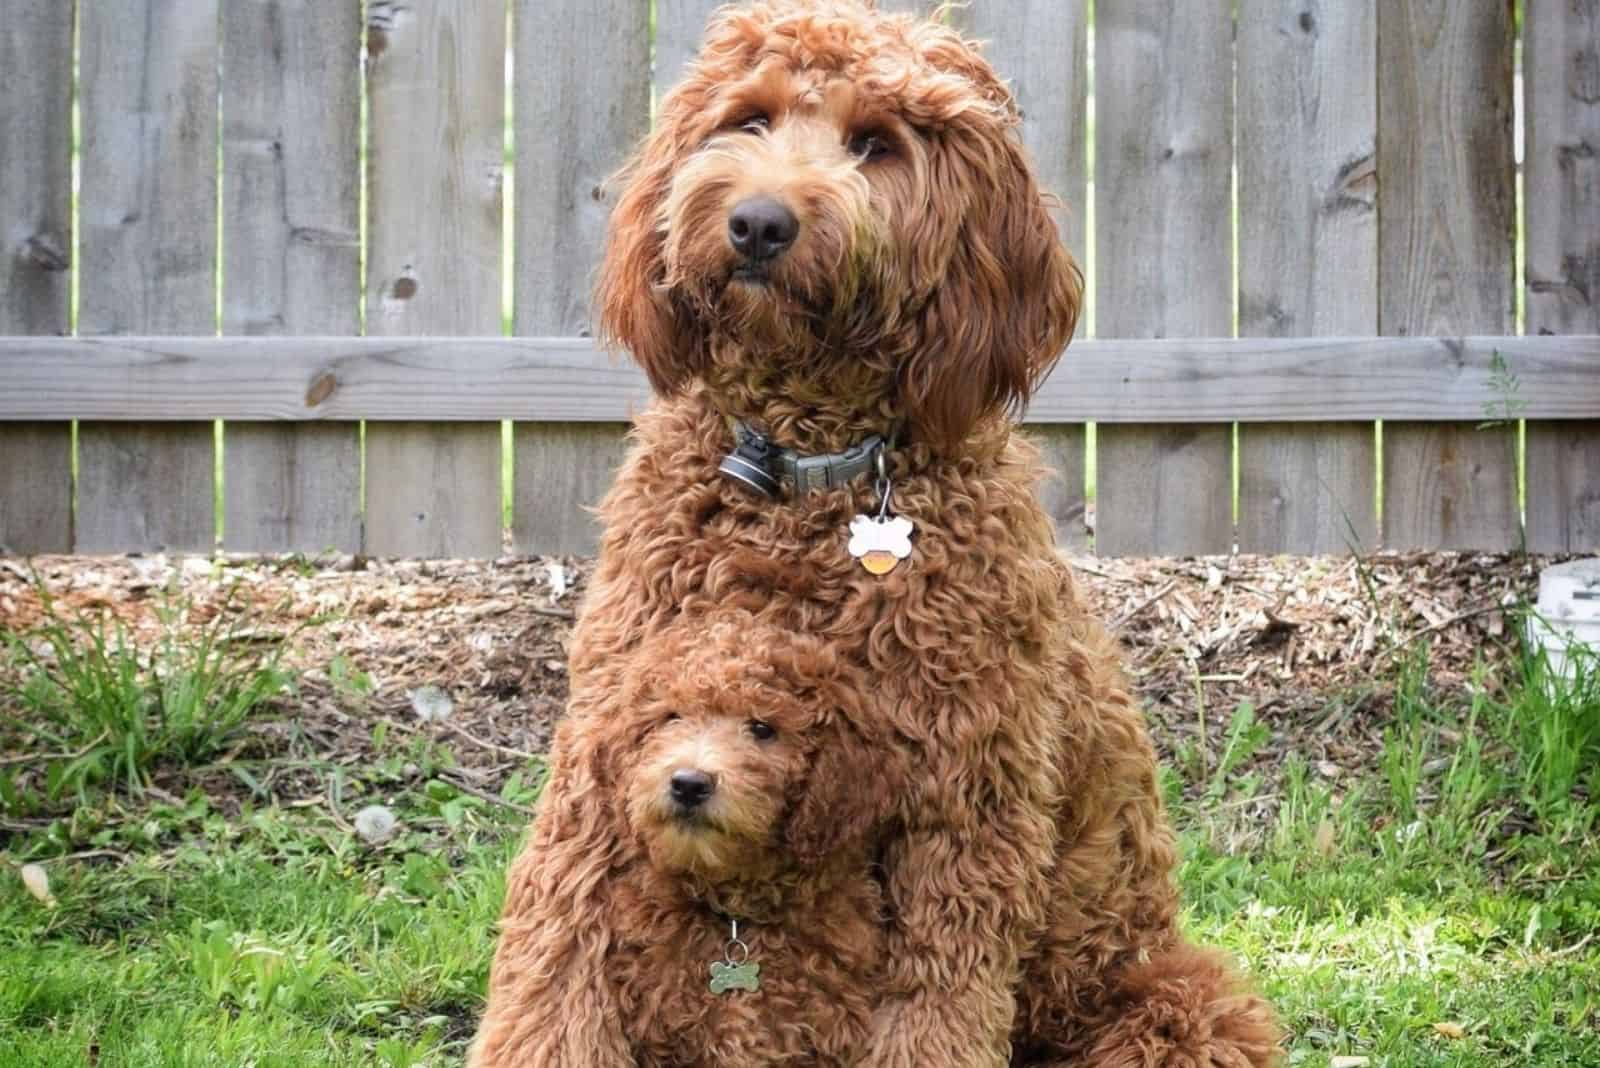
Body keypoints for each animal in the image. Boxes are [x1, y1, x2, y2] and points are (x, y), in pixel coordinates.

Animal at [467, 2, 1280, 1068]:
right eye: (751, 118)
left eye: (876, 144)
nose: (758, 222)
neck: (803, 478)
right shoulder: (608, 750)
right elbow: (554, 965)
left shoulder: (963, 802)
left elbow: (936, 1004)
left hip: (1168, 1006)